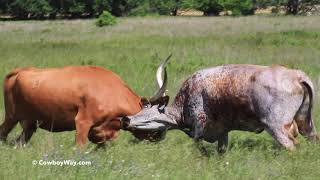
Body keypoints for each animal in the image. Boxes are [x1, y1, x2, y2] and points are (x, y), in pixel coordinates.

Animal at [0, 55, 171, 147]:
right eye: (155, 115)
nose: (161, 136)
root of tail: (19, 71)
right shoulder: (82, 122)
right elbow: (79, 146)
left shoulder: (102, 131)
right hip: (11, 117)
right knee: (3, 133)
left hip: (30, 123)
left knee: (19, 141)